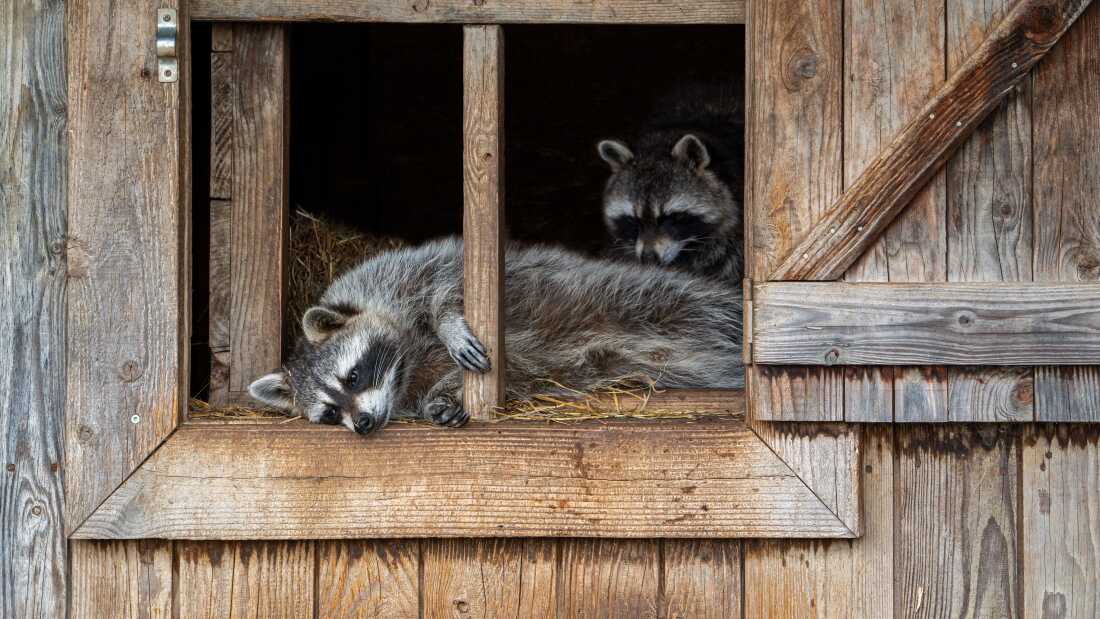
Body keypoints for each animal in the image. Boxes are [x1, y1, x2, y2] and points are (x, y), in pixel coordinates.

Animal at [249, 237, 743, 435]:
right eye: (330, 413)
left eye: (352, 377)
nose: (364, 424)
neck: (405, 367)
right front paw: (438, 401)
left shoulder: (399, 273)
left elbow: (449, 282)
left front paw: (448, 322)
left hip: (651, 298)